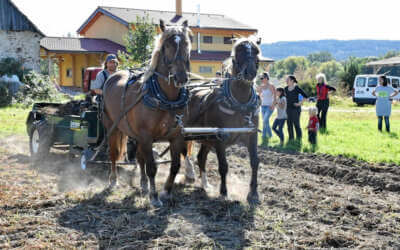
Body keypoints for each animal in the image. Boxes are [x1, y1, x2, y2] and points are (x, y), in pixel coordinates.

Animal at [102, 20, 191, 207]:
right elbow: (152, 167)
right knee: (113, 153)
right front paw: (155, 197)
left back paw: (143, 184)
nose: (181, 77)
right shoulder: (146, 135)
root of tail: (114, 75)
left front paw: (166, 191)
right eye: (167, 45)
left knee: (139, 157)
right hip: (112, 127)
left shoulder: (176, 136)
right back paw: (113, 180)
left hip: (135, 133)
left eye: (187, 44)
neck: (166, 98)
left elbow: (175, 165)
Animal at [183, 38, 260, 204]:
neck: (240, 104)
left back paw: (205, 184)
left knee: (201, 158)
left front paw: (253, 194)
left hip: (205, 138)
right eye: (237, 54)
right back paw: (189, 174)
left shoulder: (252, 135)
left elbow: (255, 162)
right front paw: (224, 193)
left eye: (256, 52)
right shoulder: (220, 138)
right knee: (184, 153)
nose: (250, 72)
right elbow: (223, 166)